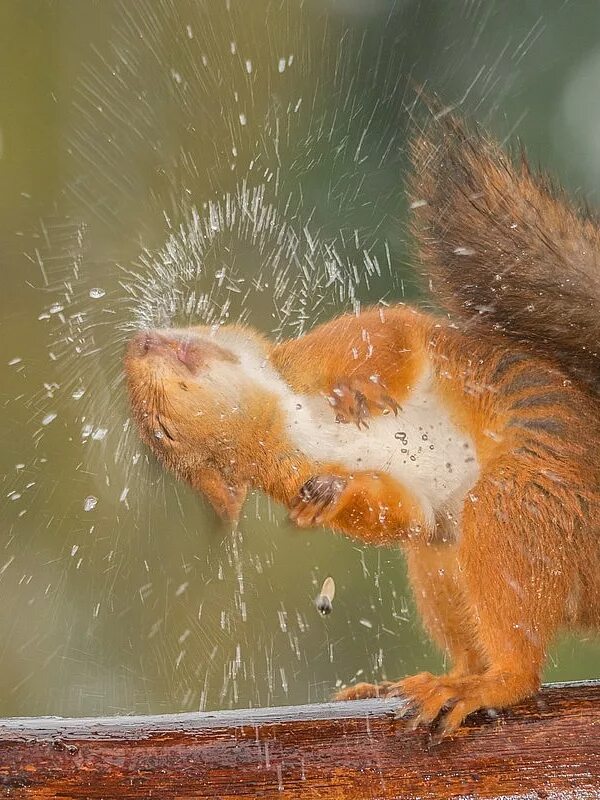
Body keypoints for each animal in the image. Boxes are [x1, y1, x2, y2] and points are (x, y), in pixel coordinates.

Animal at [125, 109, 600, 740]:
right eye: (163, 431)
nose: (137, 341)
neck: (282, 422)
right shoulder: (296, 471)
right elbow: (397, 510)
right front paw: (327, 498)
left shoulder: (327, 351)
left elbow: (396, 337)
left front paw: (355, 392)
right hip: (460, 549)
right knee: (499, 651)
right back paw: (444, 682)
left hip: (524, 505)